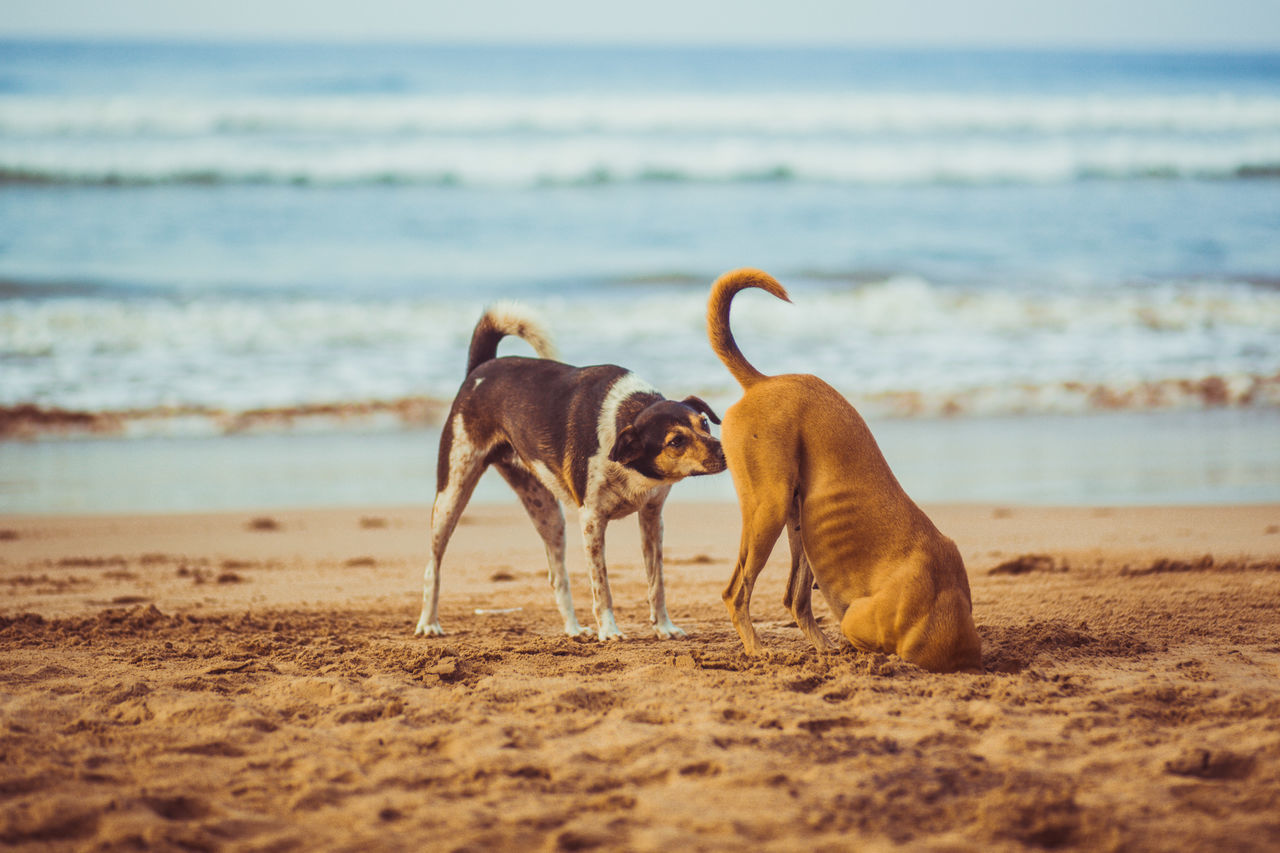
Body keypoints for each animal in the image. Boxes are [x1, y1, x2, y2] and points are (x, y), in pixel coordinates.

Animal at [414, 303, 727, 637]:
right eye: (676, 441)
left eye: (704, 423)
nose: (725, 451)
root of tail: (481, 368)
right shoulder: (592, 520)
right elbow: (602, 586)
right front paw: (609, 630)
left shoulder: (652, 517)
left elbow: (657, 583)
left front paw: (664, 626)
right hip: (451, 495)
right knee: (432, 566)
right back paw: (429, 622)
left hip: (547, 513)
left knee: (557, 576)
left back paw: (574, 630)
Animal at [711, 267, 977, 671]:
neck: (938, 599)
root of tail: (764, 381)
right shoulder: (859, 620)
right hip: (768, 512)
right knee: (737, 593)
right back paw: (757, 649)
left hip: (796, 522)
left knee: (794, 599)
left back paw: (820, 647)